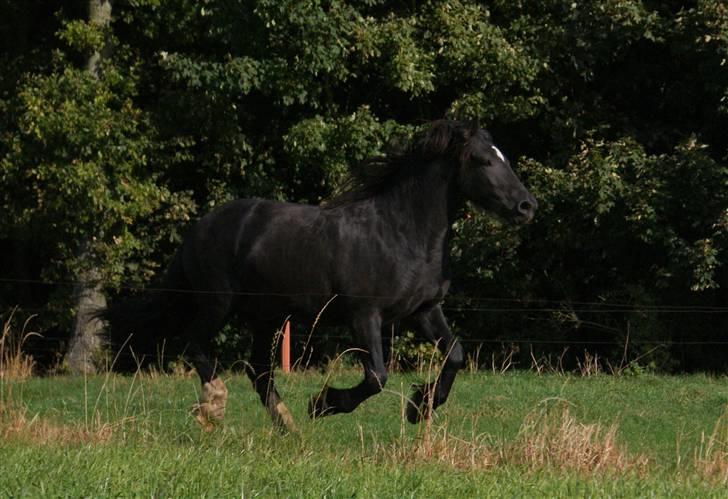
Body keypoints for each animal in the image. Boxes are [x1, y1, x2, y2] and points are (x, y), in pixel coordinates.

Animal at [102, 120, 536, 430]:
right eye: (483, 160)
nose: (526, 206)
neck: (401, 233)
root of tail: (197, 229)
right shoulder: (364, 315)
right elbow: (377, 376)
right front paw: (323, 404)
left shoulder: (423, 310)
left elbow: (456, 355)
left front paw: (420, 408)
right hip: (218, 304)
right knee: (196, 346)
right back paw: (215, 408)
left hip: (268, 316)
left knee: (258, 371)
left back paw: (287, 425)